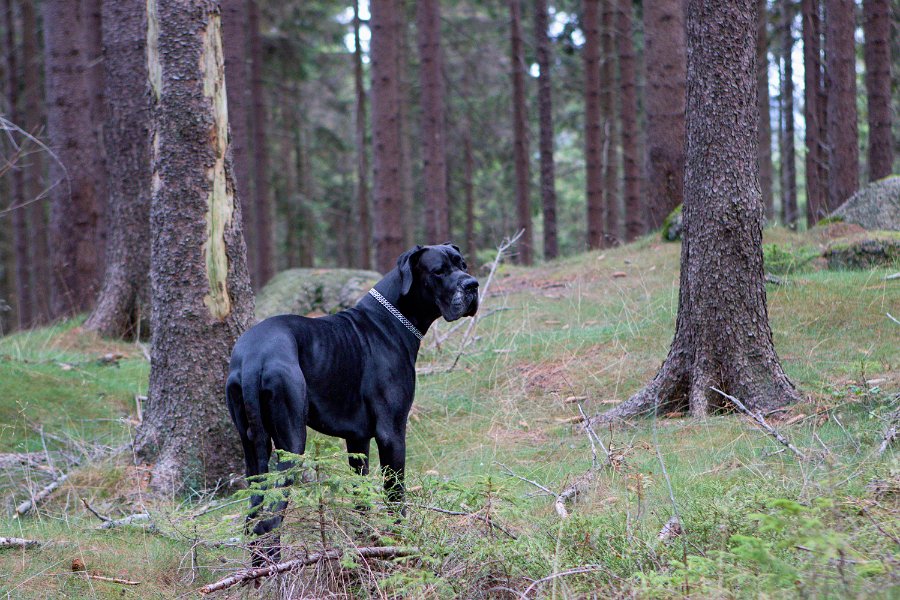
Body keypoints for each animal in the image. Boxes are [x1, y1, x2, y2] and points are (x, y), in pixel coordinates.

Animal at [225, 245, 478, 548]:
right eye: (438, 271)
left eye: (463, 265)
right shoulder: (392, 434)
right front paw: (402, 544)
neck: (390, 320)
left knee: (252, 518)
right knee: (270, 521)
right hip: (292, 442)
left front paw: (366, 543)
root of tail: (253, 356)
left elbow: (361, 499)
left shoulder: (357, 440)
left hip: (252, 448)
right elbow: (395, 497)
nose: (472, 285)